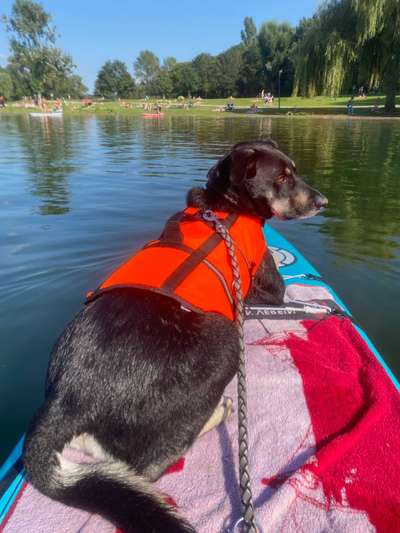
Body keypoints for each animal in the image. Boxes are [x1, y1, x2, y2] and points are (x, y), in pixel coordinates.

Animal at [22, 140, 328, 532]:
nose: (323, 202)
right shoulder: (268, 289)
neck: (224, 207)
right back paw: (216, 415)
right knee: (148, 467)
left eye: (295, 171)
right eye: (283, 177)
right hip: (224, 341)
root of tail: (67, 396)